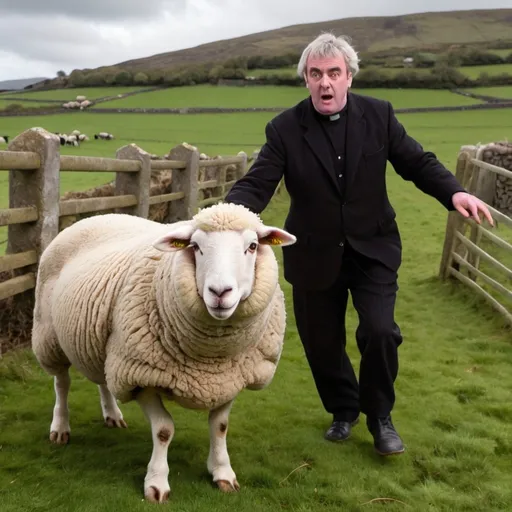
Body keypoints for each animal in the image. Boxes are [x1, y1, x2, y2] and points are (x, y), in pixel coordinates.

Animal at [32, 203, 296, 504]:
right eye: (195, 246)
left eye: (252, 246)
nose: (220, 292)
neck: (214, 356)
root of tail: (95, 216)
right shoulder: (141, 375)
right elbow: (163, 430)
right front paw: (156, 483)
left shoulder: (230, 378)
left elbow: (220, 426)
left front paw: (222, 472)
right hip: (49, 335)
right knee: (62, 383)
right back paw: (60, 428)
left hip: (104, 342)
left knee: (103, 380)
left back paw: (112, 415)